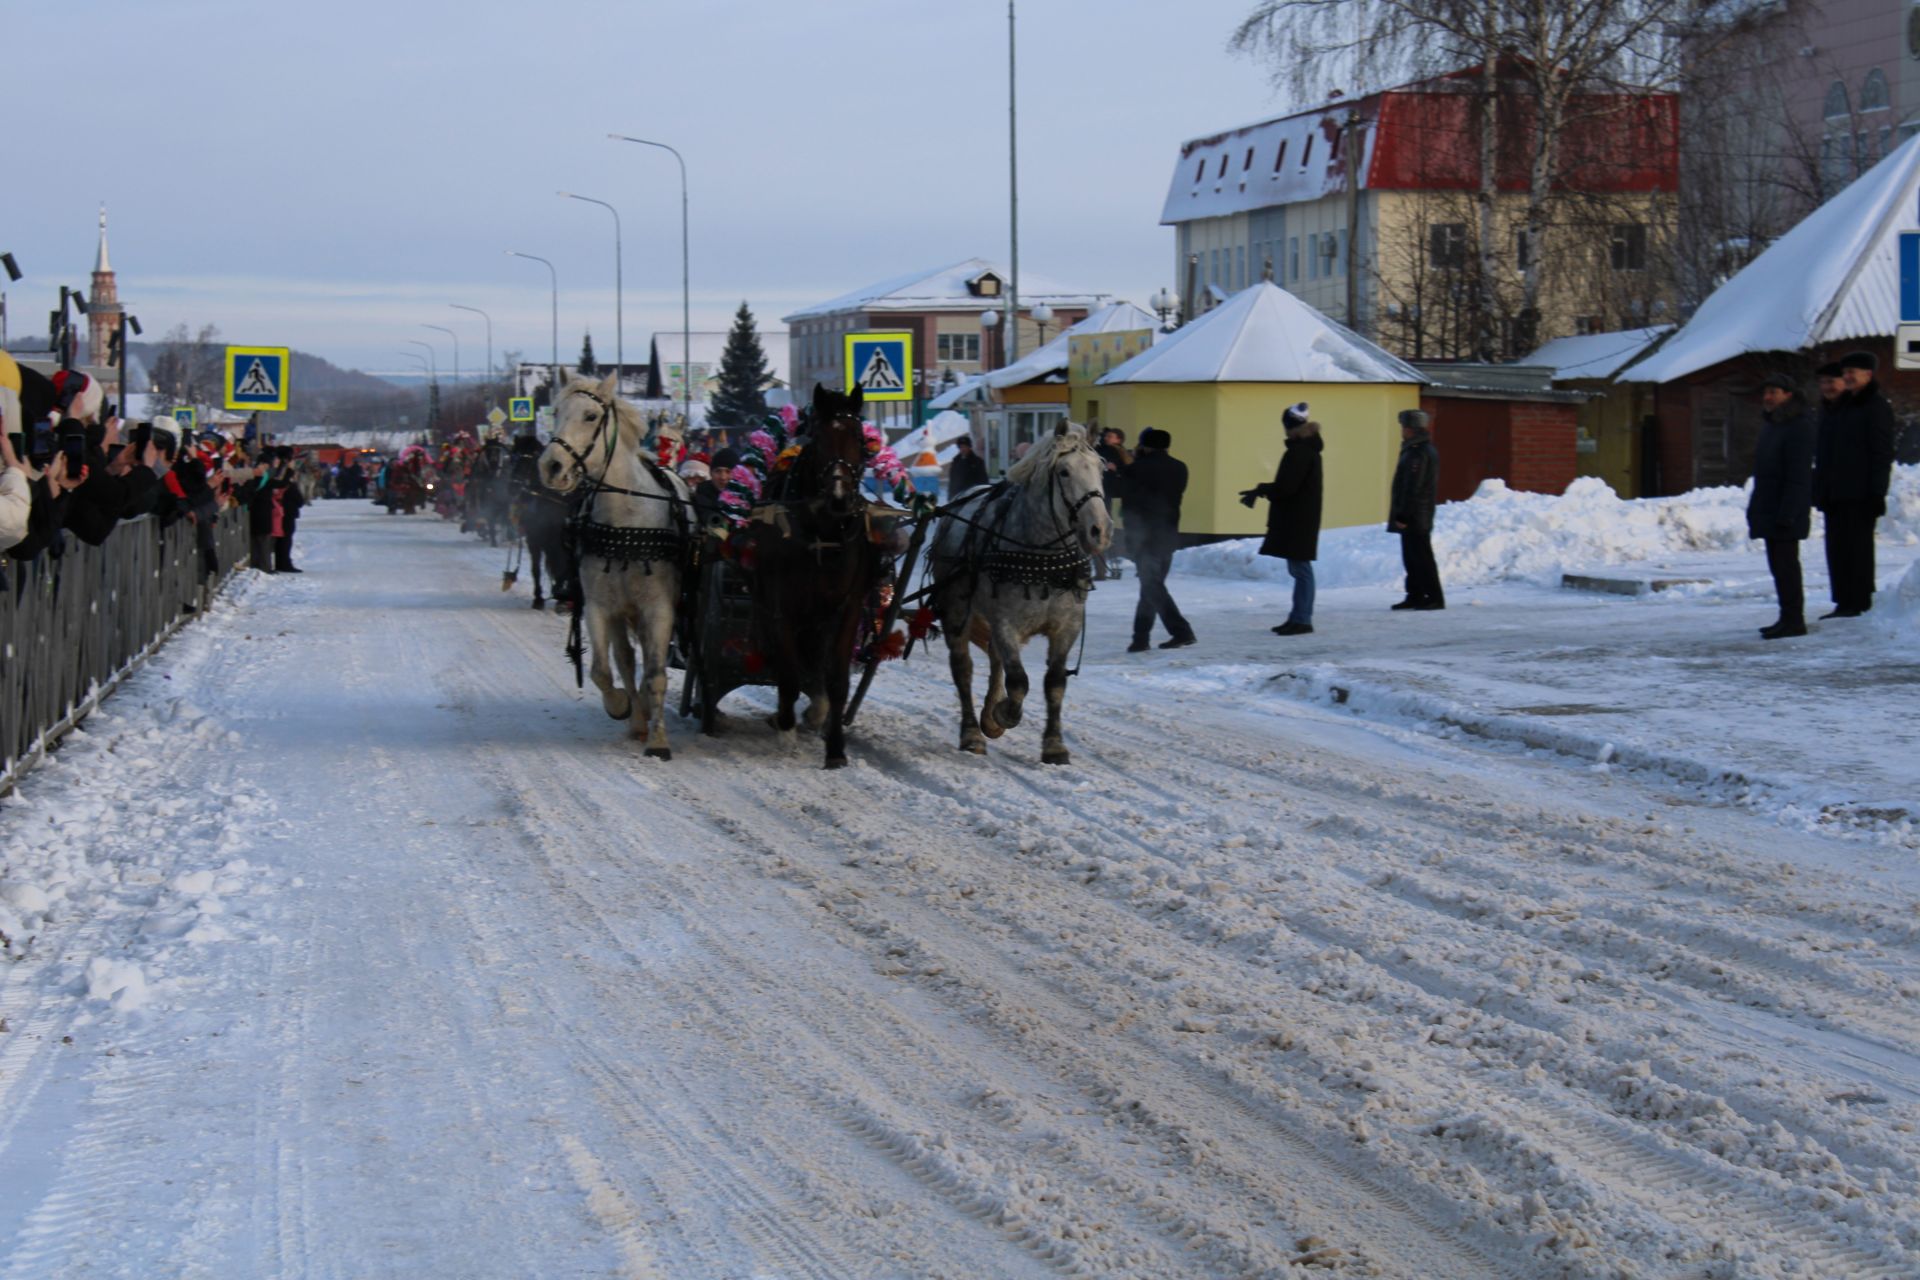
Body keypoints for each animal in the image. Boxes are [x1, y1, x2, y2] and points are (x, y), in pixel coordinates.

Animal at [537, 372, 695, 759]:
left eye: (591, 416)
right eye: (556, 411)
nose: (551, 466)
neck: (626, 522)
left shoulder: (659, 608)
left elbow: (655, 673)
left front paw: (659, 741)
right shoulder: (599, 606)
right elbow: (601, 671)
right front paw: (622, 706)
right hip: (622, 611)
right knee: (624, 657)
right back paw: (638, 718)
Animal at [748, 383, 883, 771]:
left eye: (859, 437)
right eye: (819, 438)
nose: (839, 498)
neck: (823, 532)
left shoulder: (847, 608)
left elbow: (836, 680)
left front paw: (835, 747)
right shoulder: (783, 609)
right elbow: (788, 673)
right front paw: (785, 728)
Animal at [925, 422, 1113, 759]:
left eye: (1100, 468)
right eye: (1064, 471)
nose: (1100, 530)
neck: (1042, 557)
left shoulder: (1067, 625)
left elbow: (1054, 683)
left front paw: (1053, 744)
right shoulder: (1005, 623)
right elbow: (1018, 682)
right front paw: (1004, 714)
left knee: (994, 658)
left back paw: (988, 716)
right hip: (957, 611)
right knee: (963, 669)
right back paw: (972, 732)